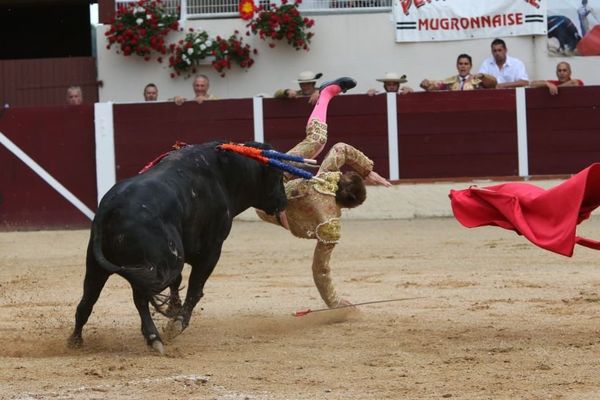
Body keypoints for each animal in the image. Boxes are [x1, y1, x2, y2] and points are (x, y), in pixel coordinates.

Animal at [68, 141, 288, 354]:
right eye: (278, 176)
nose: (284, 202)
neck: (225, 174)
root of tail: (110, 208)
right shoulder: (211, 249)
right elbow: (195, 288)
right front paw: (177, 323)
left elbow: (178, 281)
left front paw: (173, 310)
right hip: (154, 263)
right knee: (140, 298)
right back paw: (154, 339)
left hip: (98, 265)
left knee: (88, 299)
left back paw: (75, 340)